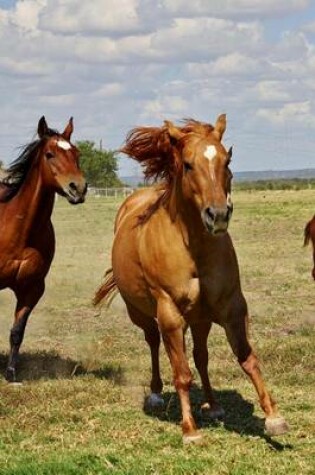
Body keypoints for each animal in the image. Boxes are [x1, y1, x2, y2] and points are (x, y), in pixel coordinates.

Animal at [0, 116, 87, 384]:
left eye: (77, 154)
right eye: (50, 154)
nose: (78, 188)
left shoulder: (33, 288)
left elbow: (17, 332)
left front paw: (11, 373)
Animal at [95, 116, 290, 446]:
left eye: (227, 160)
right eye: (187, 164)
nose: (218, 215)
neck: (193, 247)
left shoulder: (231, 306)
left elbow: (247, 359)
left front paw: (274, 417)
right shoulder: (170, 313)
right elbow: (182, 373)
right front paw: (190, 429)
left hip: (200, 319)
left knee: (201, 356)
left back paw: (212, 404)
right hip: (144, 314)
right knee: (154, 343)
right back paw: (157, 395)